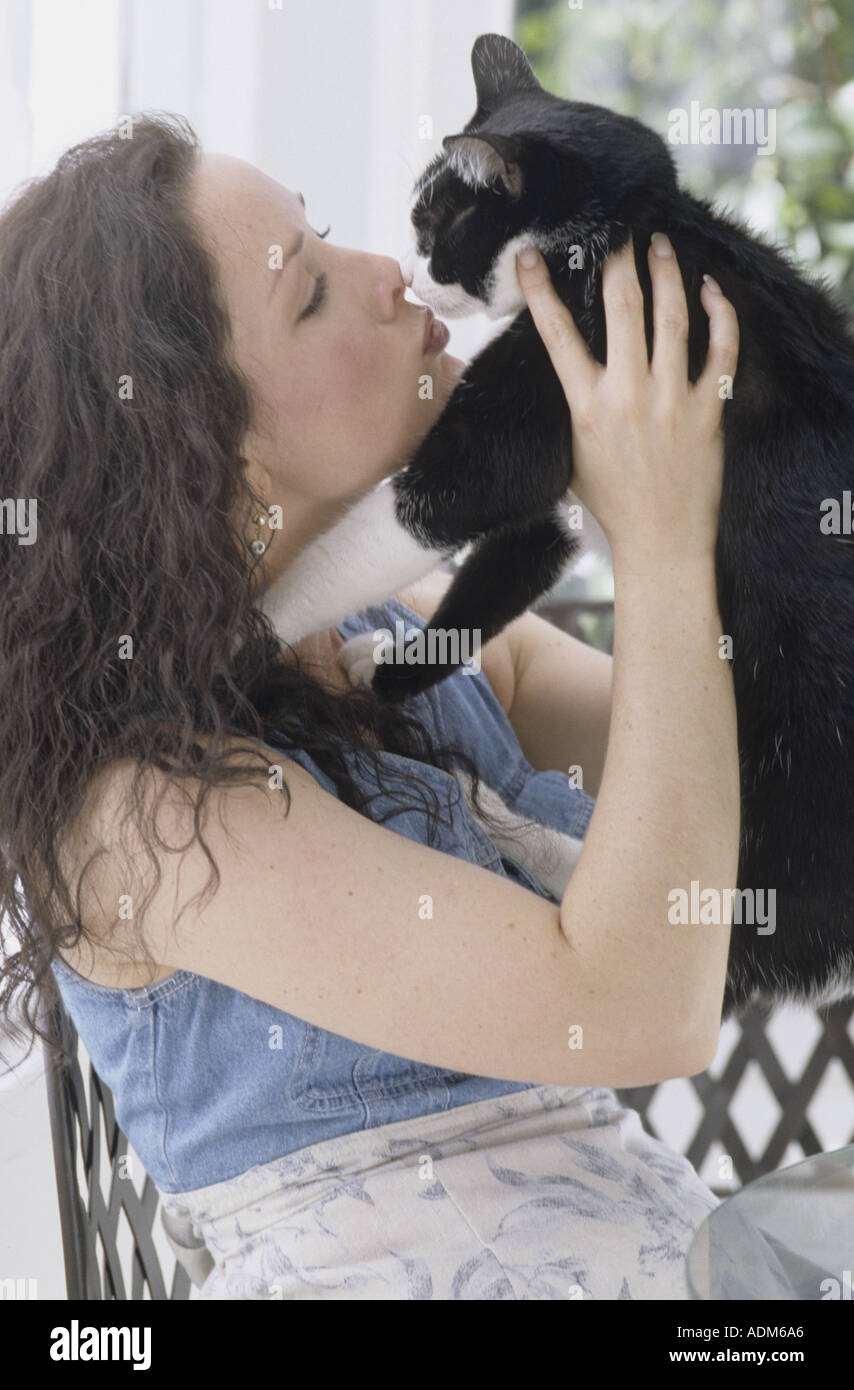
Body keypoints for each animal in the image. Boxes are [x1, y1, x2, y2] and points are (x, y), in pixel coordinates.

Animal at [264, 32, 854, 1023]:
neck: (628, 233)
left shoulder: (541, 385)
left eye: (431, 224)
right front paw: (386, 670)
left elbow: (421, 507)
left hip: (793, 789)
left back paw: (508, 823)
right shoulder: (559, 499)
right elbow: (500, 575)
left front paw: (249, 622)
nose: (408, 276)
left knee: (730, 938)